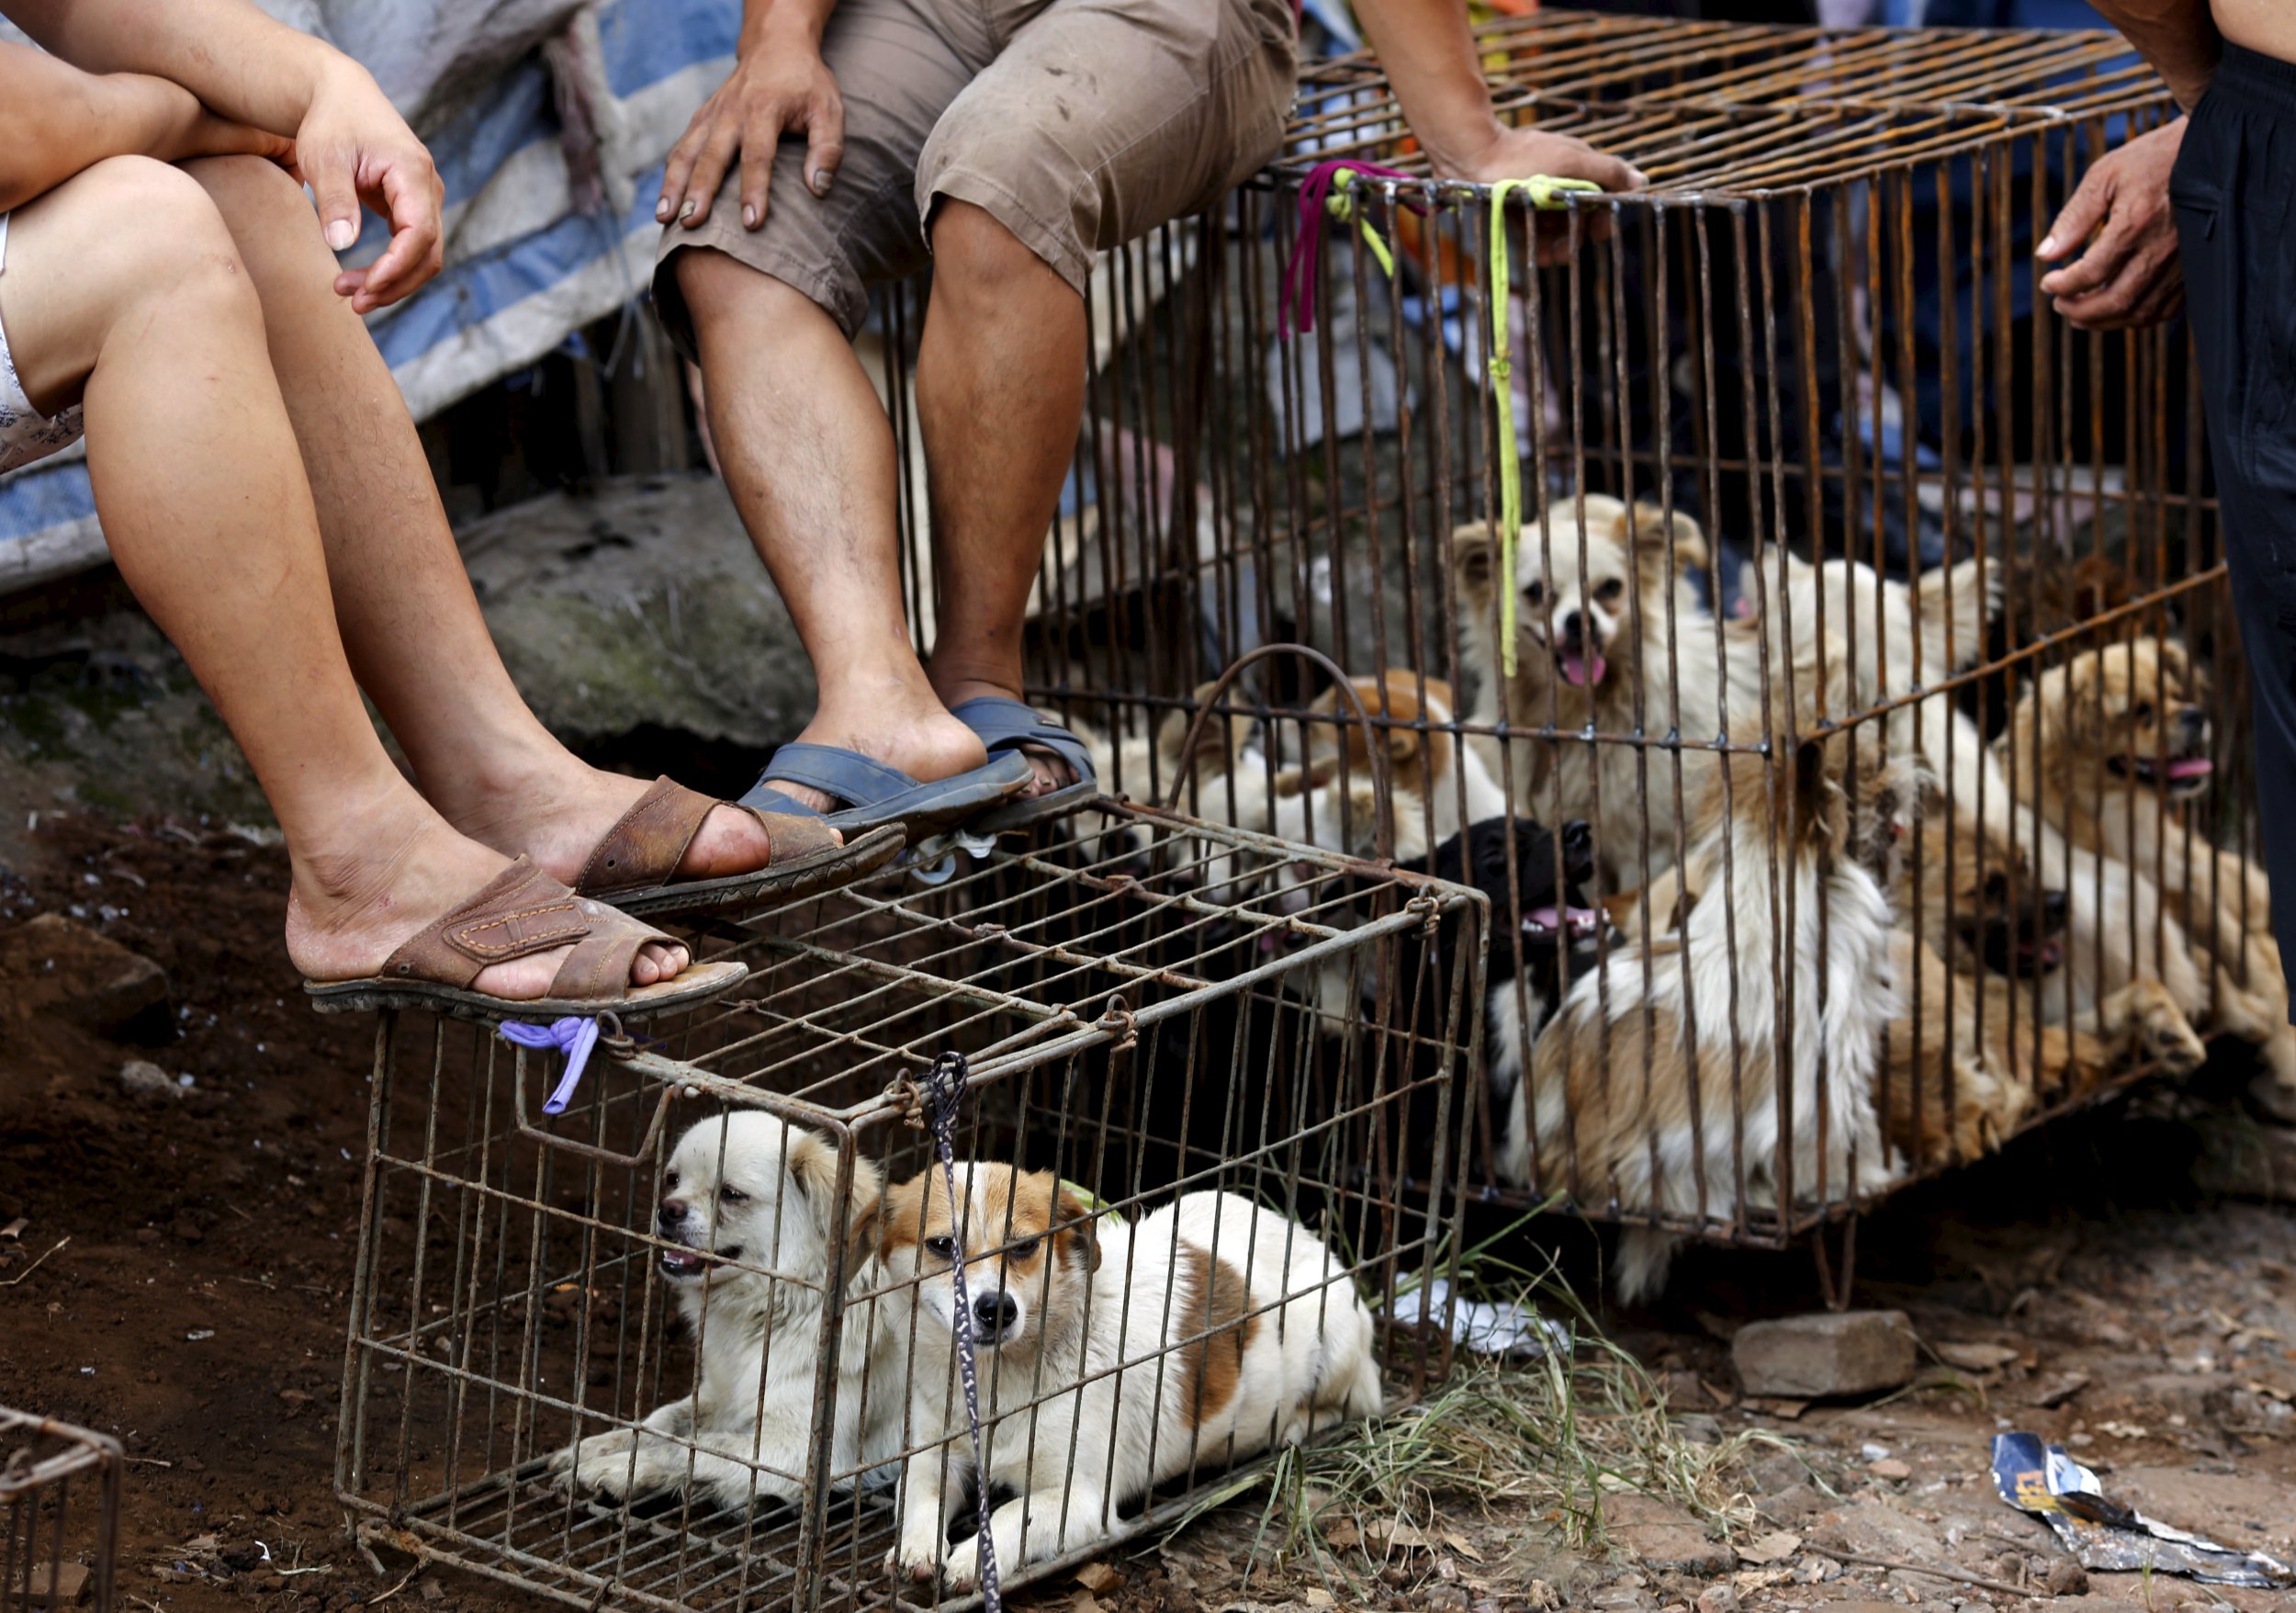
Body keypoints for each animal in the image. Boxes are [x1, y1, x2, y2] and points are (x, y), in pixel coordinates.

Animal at [551, 1116, 900, 1506]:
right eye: (672, 1179)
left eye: (732, 1194)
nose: (667, 1209)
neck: (776, 1307)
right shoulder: (721, 1397)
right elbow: (661, 1424)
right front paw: (596, 1448)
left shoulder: (794, 1449)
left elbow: (694, 1448)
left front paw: (616, 1469)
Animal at [863, 1167, 1378, 1598]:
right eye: (941, 1245)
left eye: (1026, 1246)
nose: (997, 1309)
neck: (998, 1380)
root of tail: (1300, 1233)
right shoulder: (933, 1452)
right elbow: (920, 1497)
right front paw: (915, 1547)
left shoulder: (1082, 1503)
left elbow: (1011, 1514)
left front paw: (974, 1558)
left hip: (1332, 1332)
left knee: (1348, 1406)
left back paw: (1289, 1431)